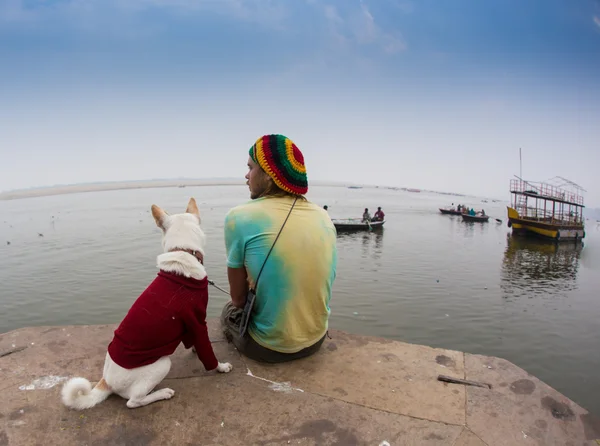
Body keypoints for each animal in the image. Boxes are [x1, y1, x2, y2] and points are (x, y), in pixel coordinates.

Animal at [61, 199, 232, 412]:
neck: (183, 252)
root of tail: (106, 382)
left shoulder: (190, 325)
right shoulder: (198, 320)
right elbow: (208, 351)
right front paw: (220, 367)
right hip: (161, 364)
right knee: (133, 401)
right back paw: (162, 393)